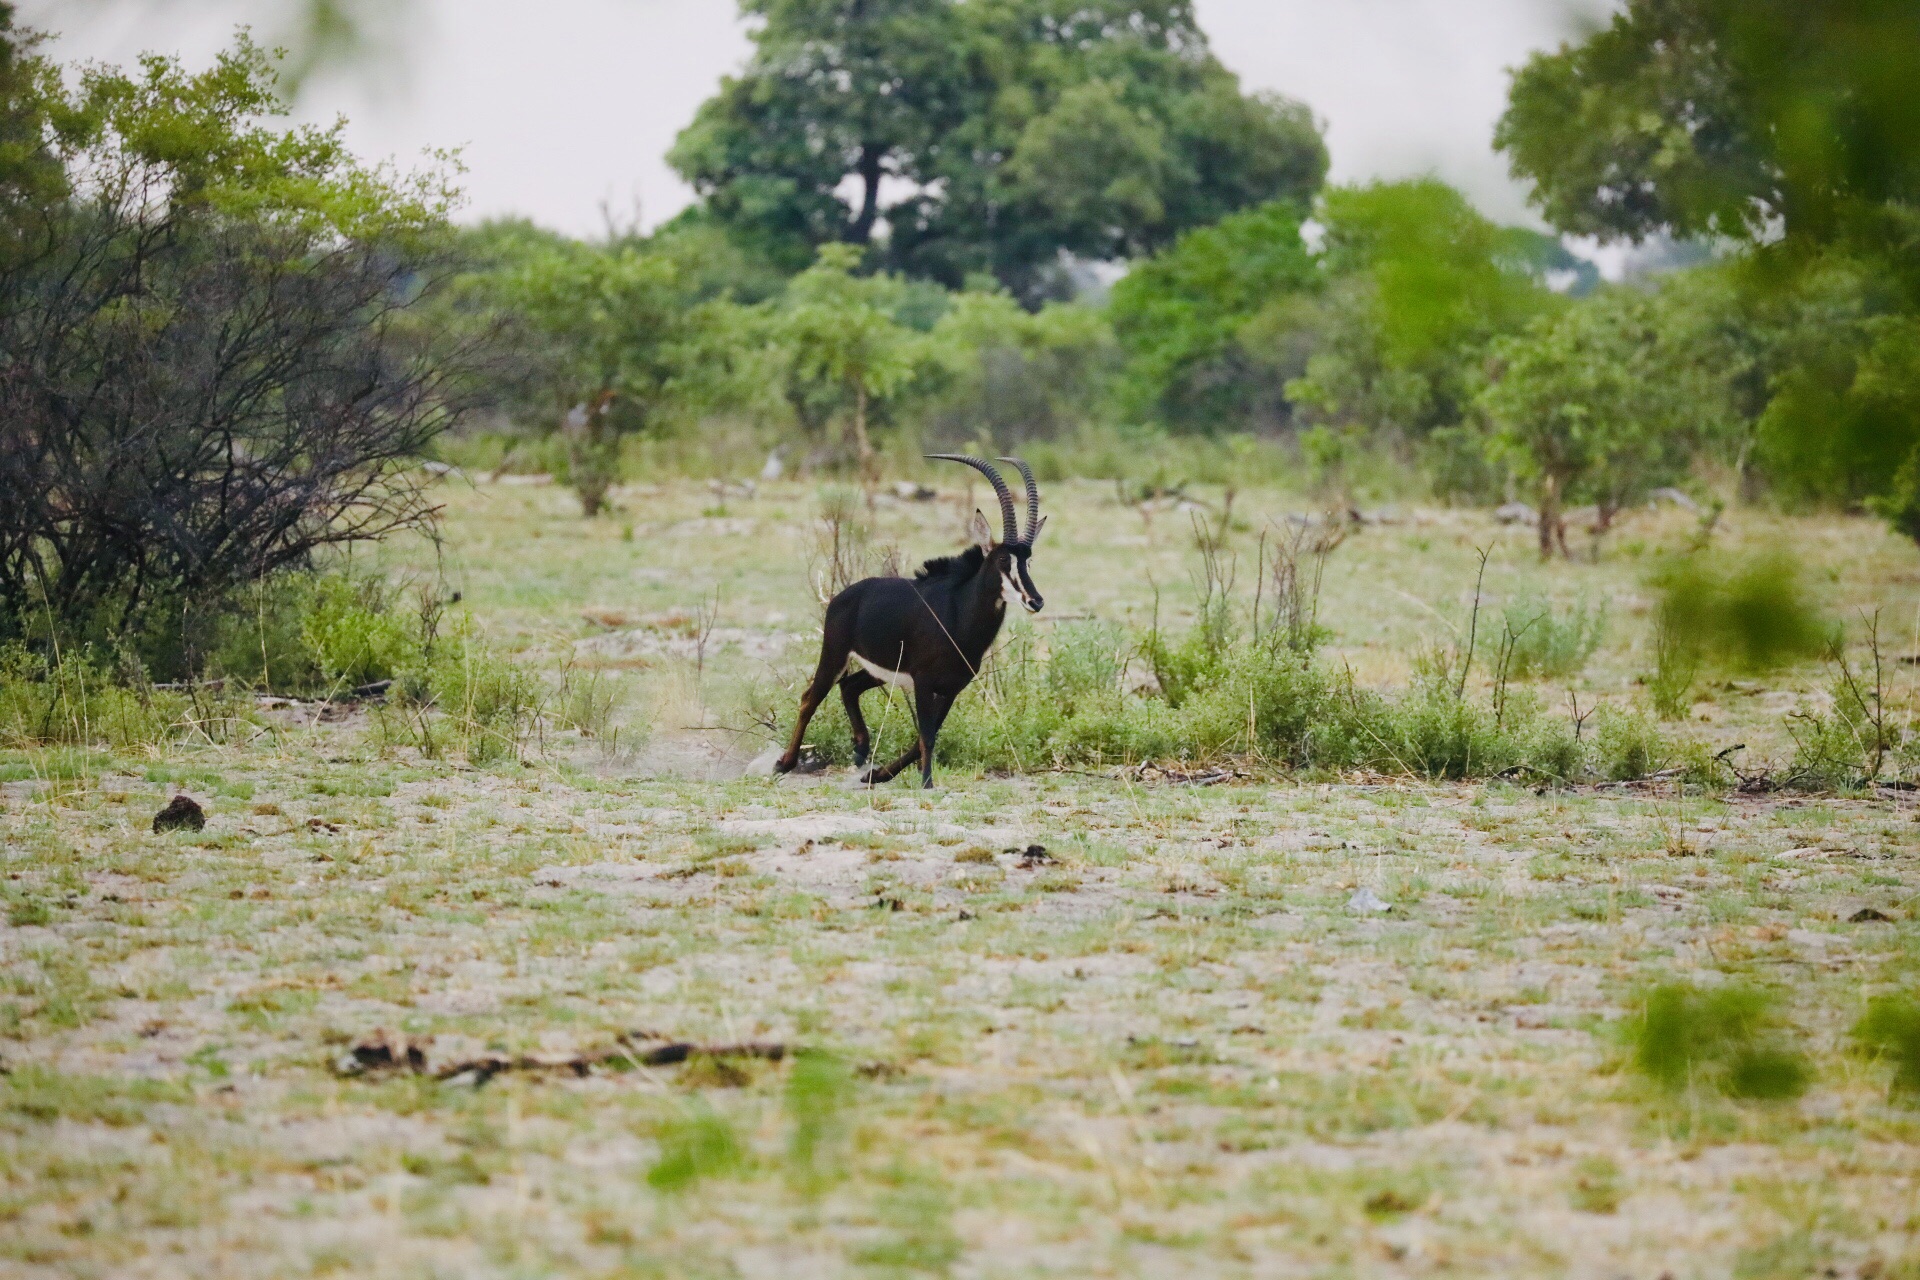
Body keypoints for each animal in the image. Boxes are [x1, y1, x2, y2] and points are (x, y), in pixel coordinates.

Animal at [771, 454, 1052, 786]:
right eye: (1002, 560)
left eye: (1028, 561)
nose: (1036, 601)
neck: (958, 614)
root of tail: (843, 596)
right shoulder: (923, 681)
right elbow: (926, 735)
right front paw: (927, 782)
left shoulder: (952, 688)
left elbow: (925, 737)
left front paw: (880, 774)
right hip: (835, 654)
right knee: (809, 698)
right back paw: (785, 763)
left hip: (879, 670)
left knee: (849, 686)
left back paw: (861, 750)